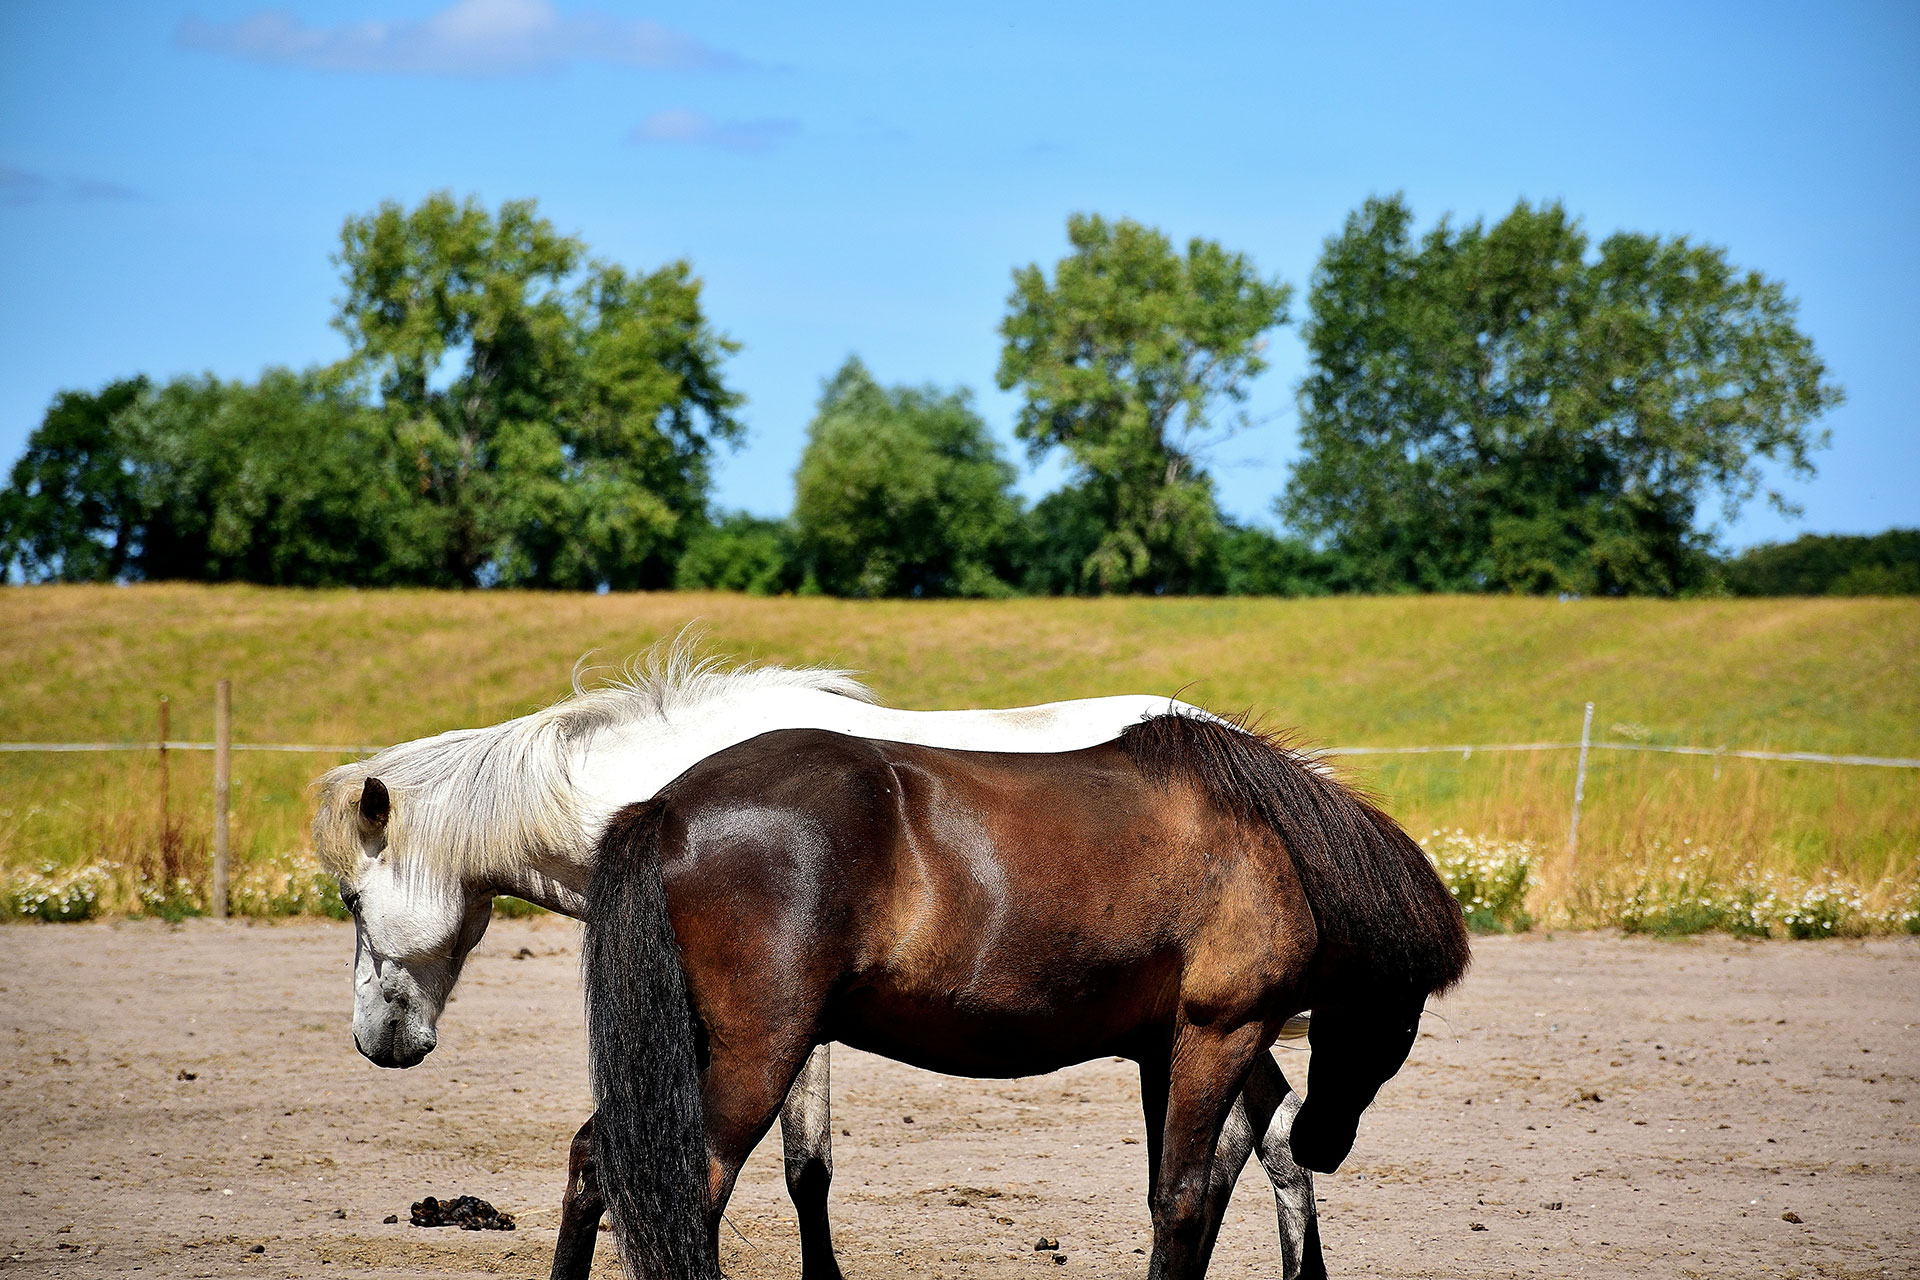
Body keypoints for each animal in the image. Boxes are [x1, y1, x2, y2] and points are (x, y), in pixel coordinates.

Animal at [314, 644, 1328, 1280]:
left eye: (353, 900)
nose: (379, 1042)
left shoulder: (787, 1031)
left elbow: (805, 1169)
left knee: (1263, 1147)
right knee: (1265, 1145)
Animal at [576, 717, 1459, 1274]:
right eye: (1403, 1022)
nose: (1326, 1142)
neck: (1269, 847)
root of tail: (667, 805)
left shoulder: (1165, 1051)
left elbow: (1199, 1190)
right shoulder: (1223, 1033)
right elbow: (1183, 1199)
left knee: (595, 1160)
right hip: (759, 1054)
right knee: (689, 1188)